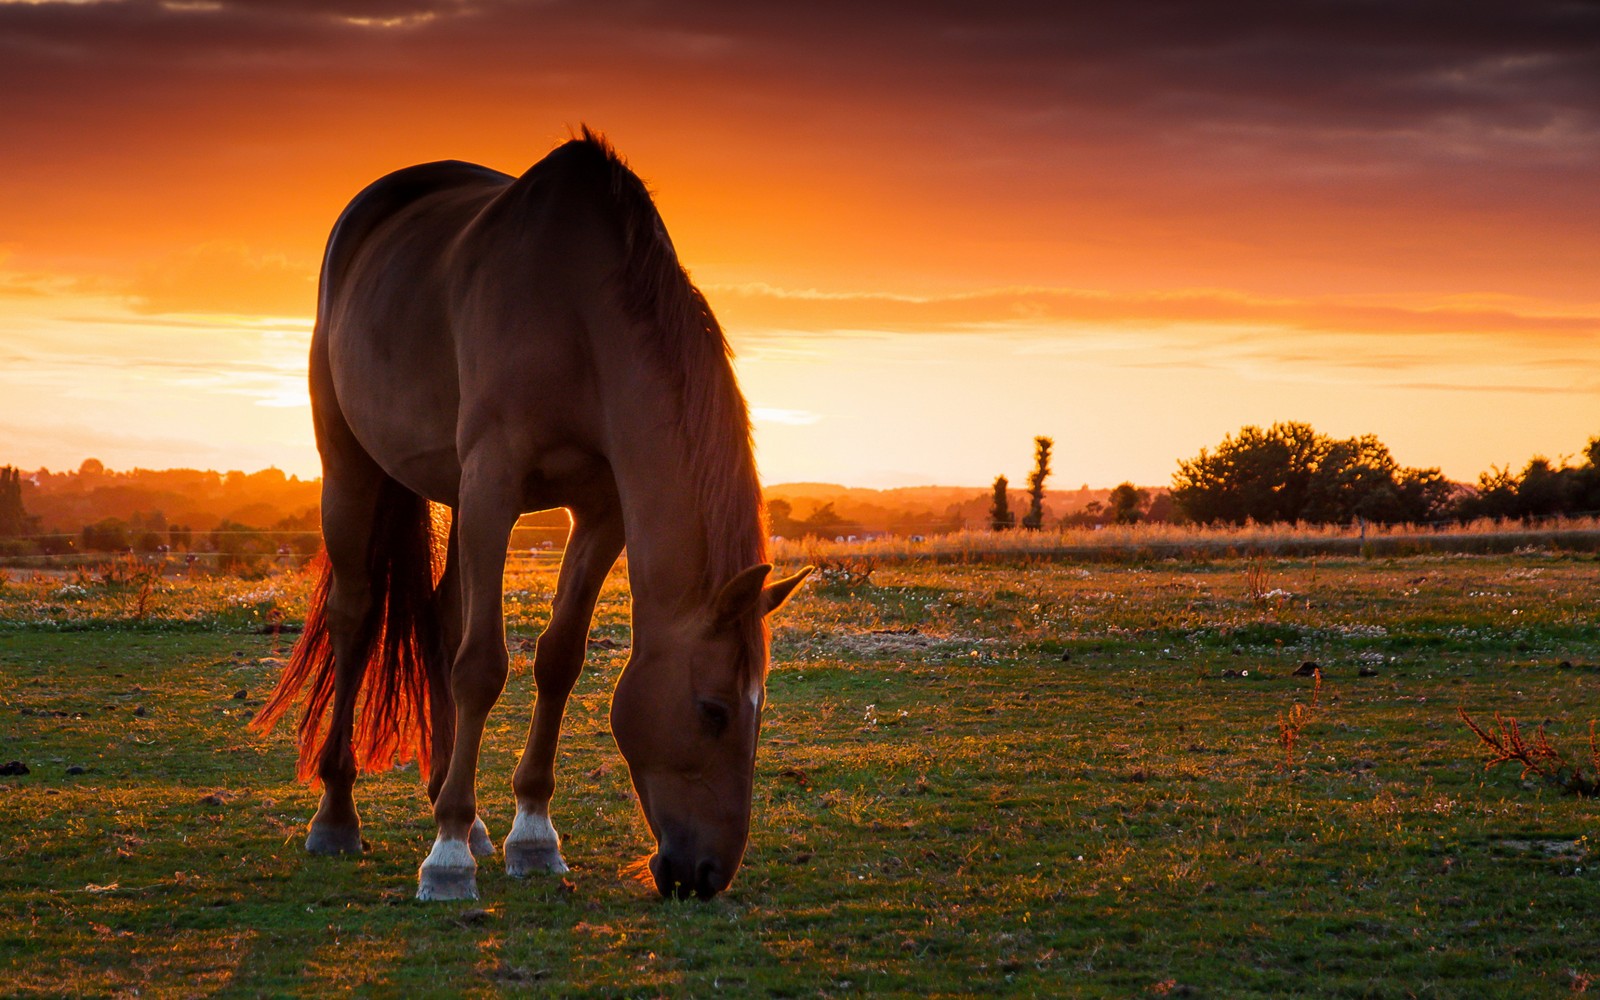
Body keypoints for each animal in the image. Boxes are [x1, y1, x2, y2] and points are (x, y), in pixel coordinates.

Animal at [257, 128, 819, 902]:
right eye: (715, 711)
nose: (707, 874)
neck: (579, 316)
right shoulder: (495, 482)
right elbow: (482, 666)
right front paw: (447, 859)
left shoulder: (600, 511)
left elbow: (557, 658)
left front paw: (530, 835)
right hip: (352, 467)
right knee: (355, 614)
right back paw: (340, 816)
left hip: (454, 494)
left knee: (440, 616)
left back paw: (462, 813)